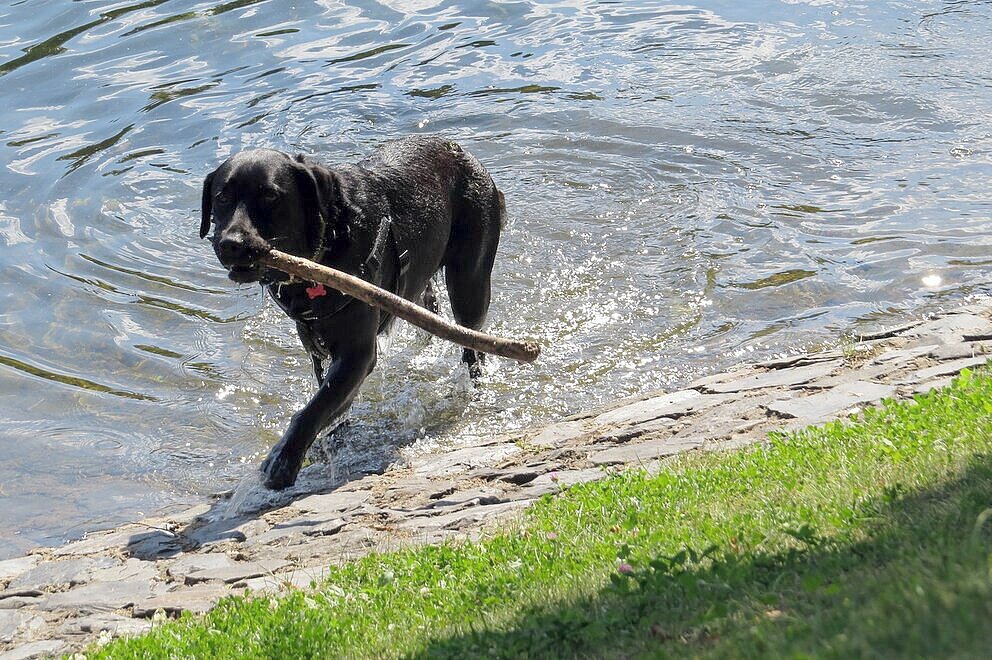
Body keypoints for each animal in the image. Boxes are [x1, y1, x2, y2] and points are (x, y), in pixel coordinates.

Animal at [200, 135, 504, 490]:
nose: (231, 243)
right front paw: (333, 439)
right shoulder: (316, 344)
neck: (327, 244)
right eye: (221, 198)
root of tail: (460, 149)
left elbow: (313, 409)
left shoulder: (358, 353)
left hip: (470, 279)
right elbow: (329, 401)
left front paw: (284, 458)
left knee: (473, 342)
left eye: (270, 196)